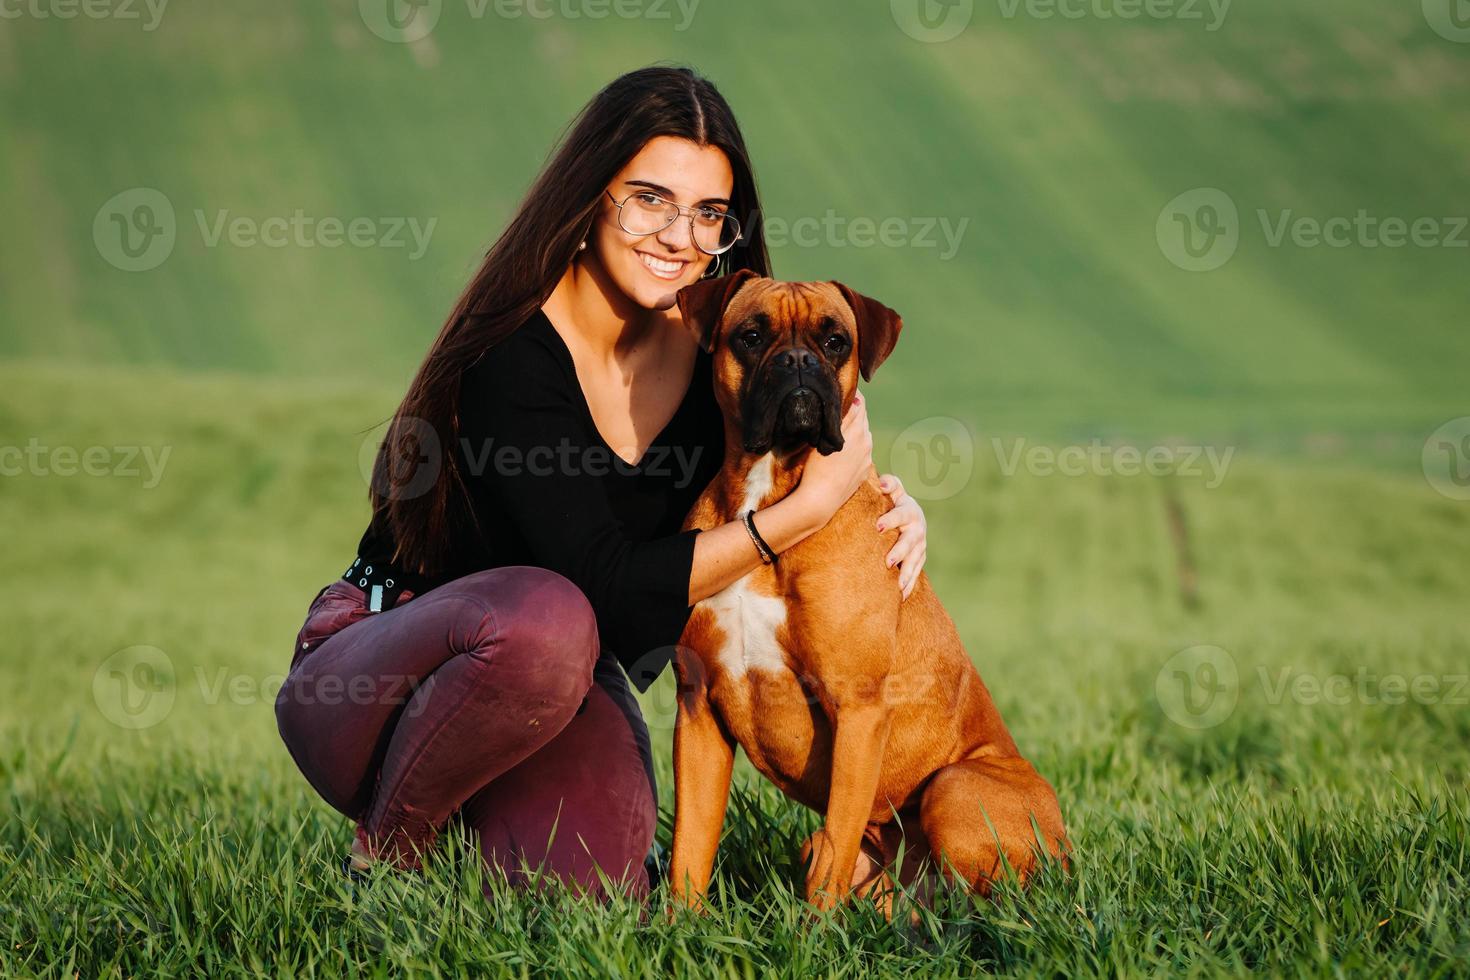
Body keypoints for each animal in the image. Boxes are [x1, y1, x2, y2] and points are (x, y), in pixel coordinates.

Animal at [667, 268, 1070, 910]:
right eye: (751, 336)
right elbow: (691, 844)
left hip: (955, 786)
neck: (766, 497)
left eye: (836, 342)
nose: (799, 362)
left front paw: (815, 928)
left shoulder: (857, 710)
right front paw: (677, 923)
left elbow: (835, 842)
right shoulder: (699, 708)